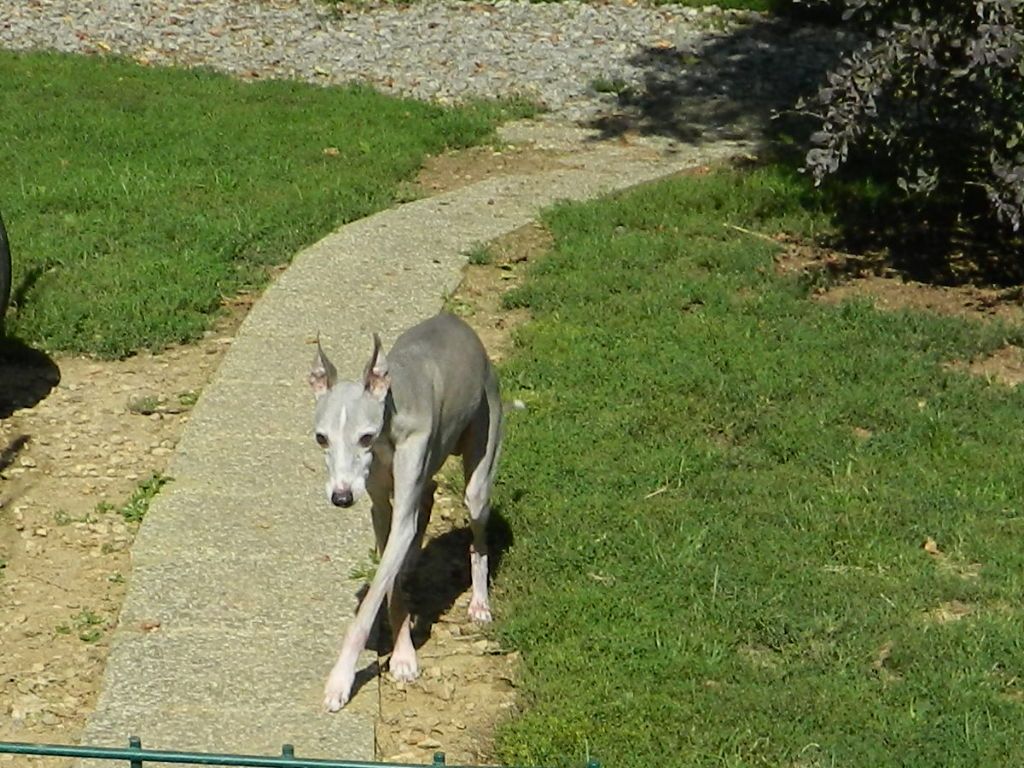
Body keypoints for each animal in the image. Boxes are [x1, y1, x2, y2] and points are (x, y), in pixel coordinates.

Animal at [311, 313, 503, 716]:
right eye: (322, 438)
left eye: (365, 437)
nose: (341, 497)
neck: (391, 415)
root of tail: (454, 321)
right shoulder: (381, 509)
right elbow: (390, 582)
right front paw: (402, 655)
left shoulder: (399, 511)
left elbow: (370, 605)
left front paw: (340, 680)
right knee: (426, 497)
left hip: (481, 466)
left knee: (477, 534)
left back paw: (479, 603)